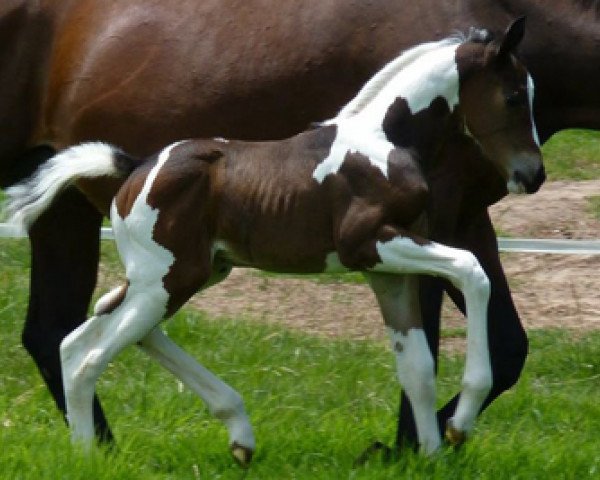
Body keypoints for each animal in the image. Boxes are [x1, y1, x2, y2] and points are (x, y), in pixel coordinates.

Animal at [0, 0, 596, 448]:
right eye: (515, 96)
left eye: (535, 96)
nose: (532, 174)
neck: (383, 141)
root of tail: (135, 166)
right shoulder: (375, 246)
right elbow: (472, 275)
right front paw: (457, 423)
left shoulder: (389, 269)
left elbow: (418, 368)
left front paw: (422, 449)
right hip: (165, 281)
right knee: (88, 354)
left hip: (183, 274)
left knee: (79, 335)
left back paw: (226, 431)